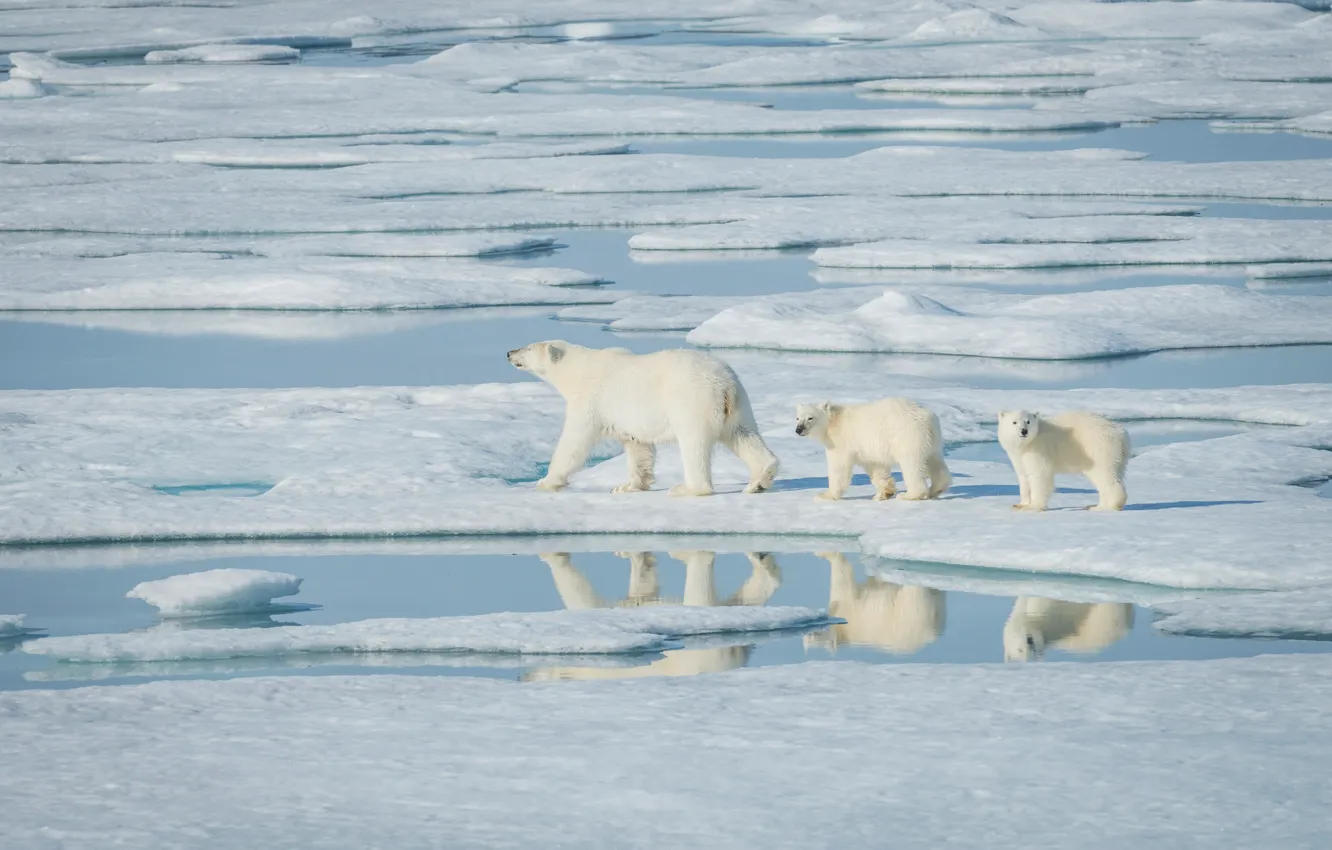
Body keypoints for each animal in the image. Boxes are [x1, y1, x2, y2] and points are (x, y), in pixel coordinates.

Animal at [508, 341, 777, 500]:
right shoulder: (628, 418)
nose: (509, 352)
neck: (579, 369)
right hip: (738, 405)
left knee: (694, 444)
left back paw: (686, 488)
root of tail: (724, 383)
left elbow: (575, 442)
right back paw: (759, 480)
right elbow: (638, 447)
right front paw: (627, 486)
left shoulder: (590, 400)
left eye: (528, 348)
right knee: (743, 435)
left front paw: (545, 481)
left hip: (692, 400)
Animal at [793, 397, 953, 500]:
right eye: (797, 418)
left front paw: (825, 495)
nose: (798, 430)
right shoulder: (867, 448)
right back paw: (936, 489)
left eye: (810, 418)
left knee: (911, 464)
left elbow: (839, 468)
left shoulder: (840, 442)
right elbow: (876, 467)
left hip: (907, 436)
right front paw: (883, 493)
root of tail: (926, 416)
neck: (833, 421)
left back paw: (909, 495)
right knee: (934, 461)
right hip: (932, 439)